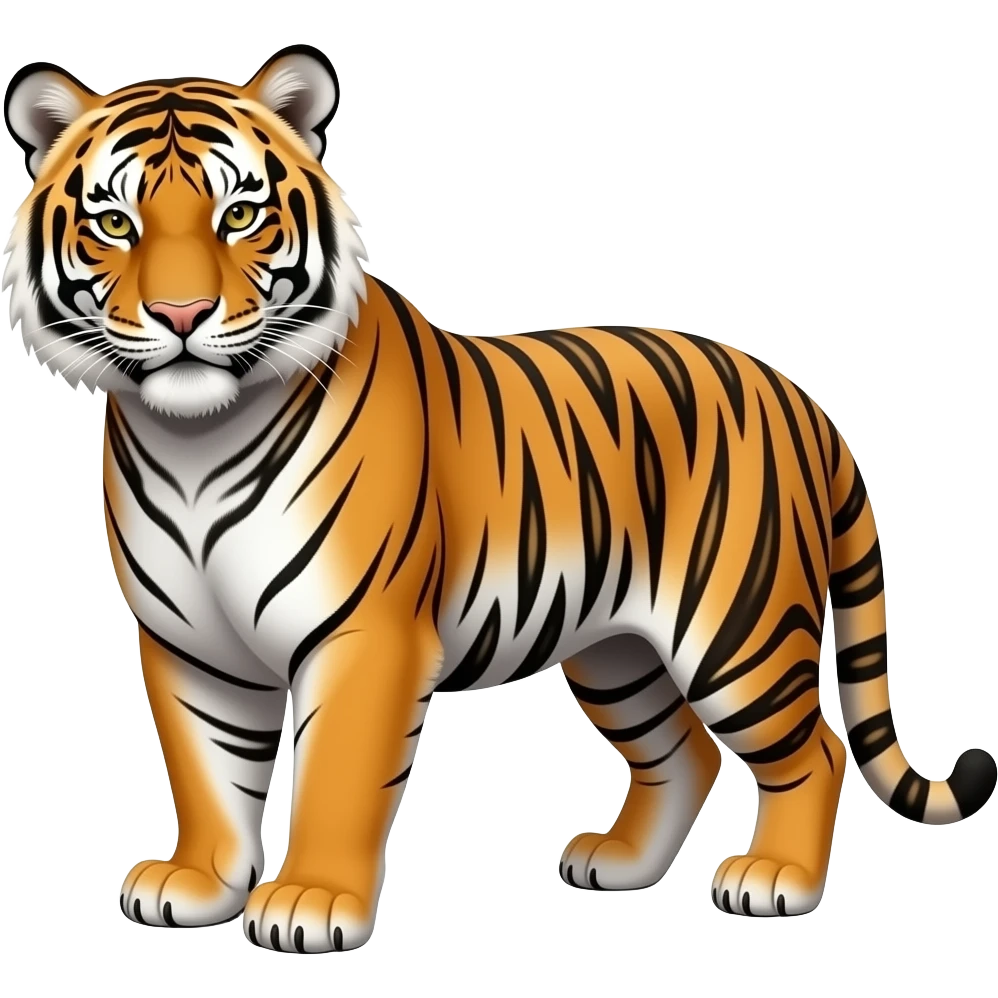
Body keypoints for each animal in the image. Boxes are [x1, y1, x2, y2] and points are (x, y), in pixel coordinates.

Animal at [3, 44, 995, 954]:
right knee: (685, 749)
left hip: (736, 630)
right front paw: (200, 883)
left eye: (239, 214)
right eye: (115, 224)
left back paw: (776, 879)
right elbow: (207, 769)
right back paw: (619, 864)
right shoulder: (189, 641)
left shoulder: (365, 634)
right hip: (617, 648)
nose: (180, 317)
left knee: (812, 749)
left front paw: (311, 902)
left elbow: (334, 775)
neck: (195, 442)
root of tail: (800, 398)